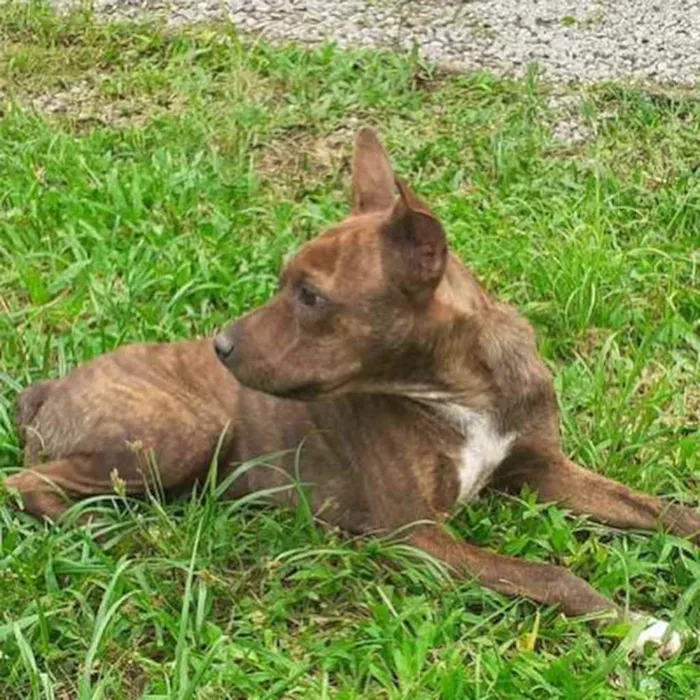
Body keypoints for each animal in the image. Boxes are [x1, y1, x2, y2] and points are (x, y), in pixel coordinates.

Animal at [6, 127, 700, 656]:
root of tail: (50, 388)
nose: (221, 346)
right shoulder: (416, 537)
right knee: (23, 482)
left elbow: (661, 510)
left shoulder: (543, 470)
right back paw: (95, 526)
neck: (463, 389)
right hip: (182, 434)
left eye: (311, 296)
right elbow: (550, 574)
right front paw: (639, 626)